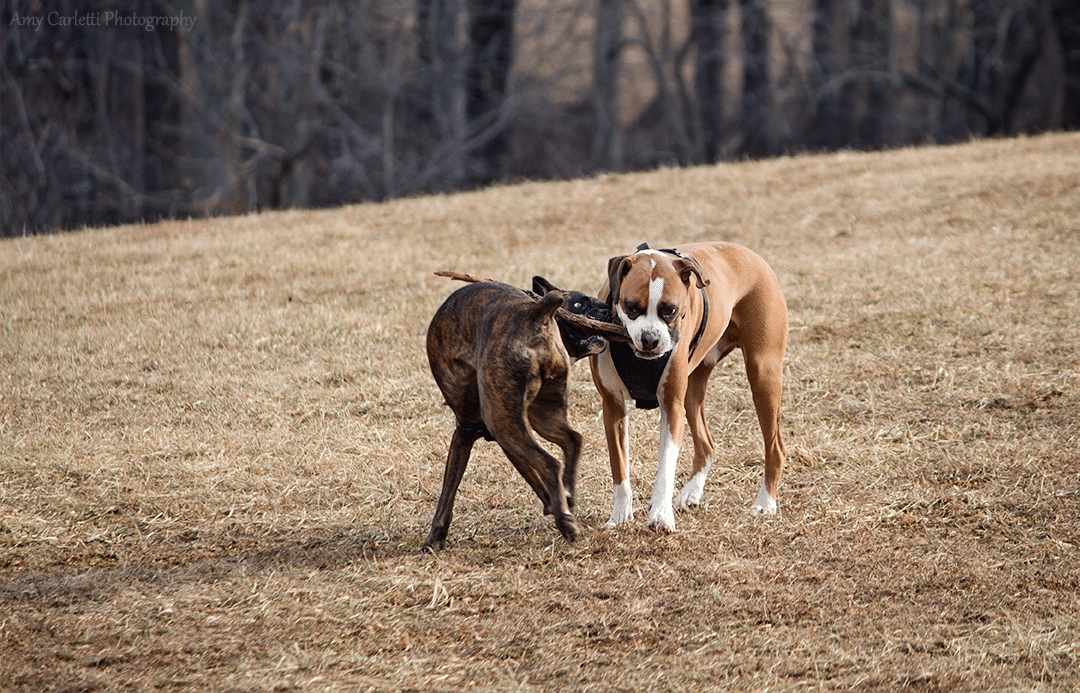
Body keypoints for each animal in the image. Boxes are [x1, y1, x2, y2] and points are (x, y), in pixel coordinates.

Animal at [591, 241, 786, 528]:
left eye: (670, 310)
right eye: (631, 307)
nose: (650, 339)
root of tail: (750, 254)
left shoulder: (672, 406)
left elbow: (665, 468)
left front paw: (661, 516)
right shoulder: (612, 406)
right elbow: (619, 468)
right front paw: (619, 517)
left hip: (763, 375)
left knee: (775, 448)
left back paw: (765, 503)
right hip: (693, 393)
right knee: (706, 445)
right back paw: (691, 494)